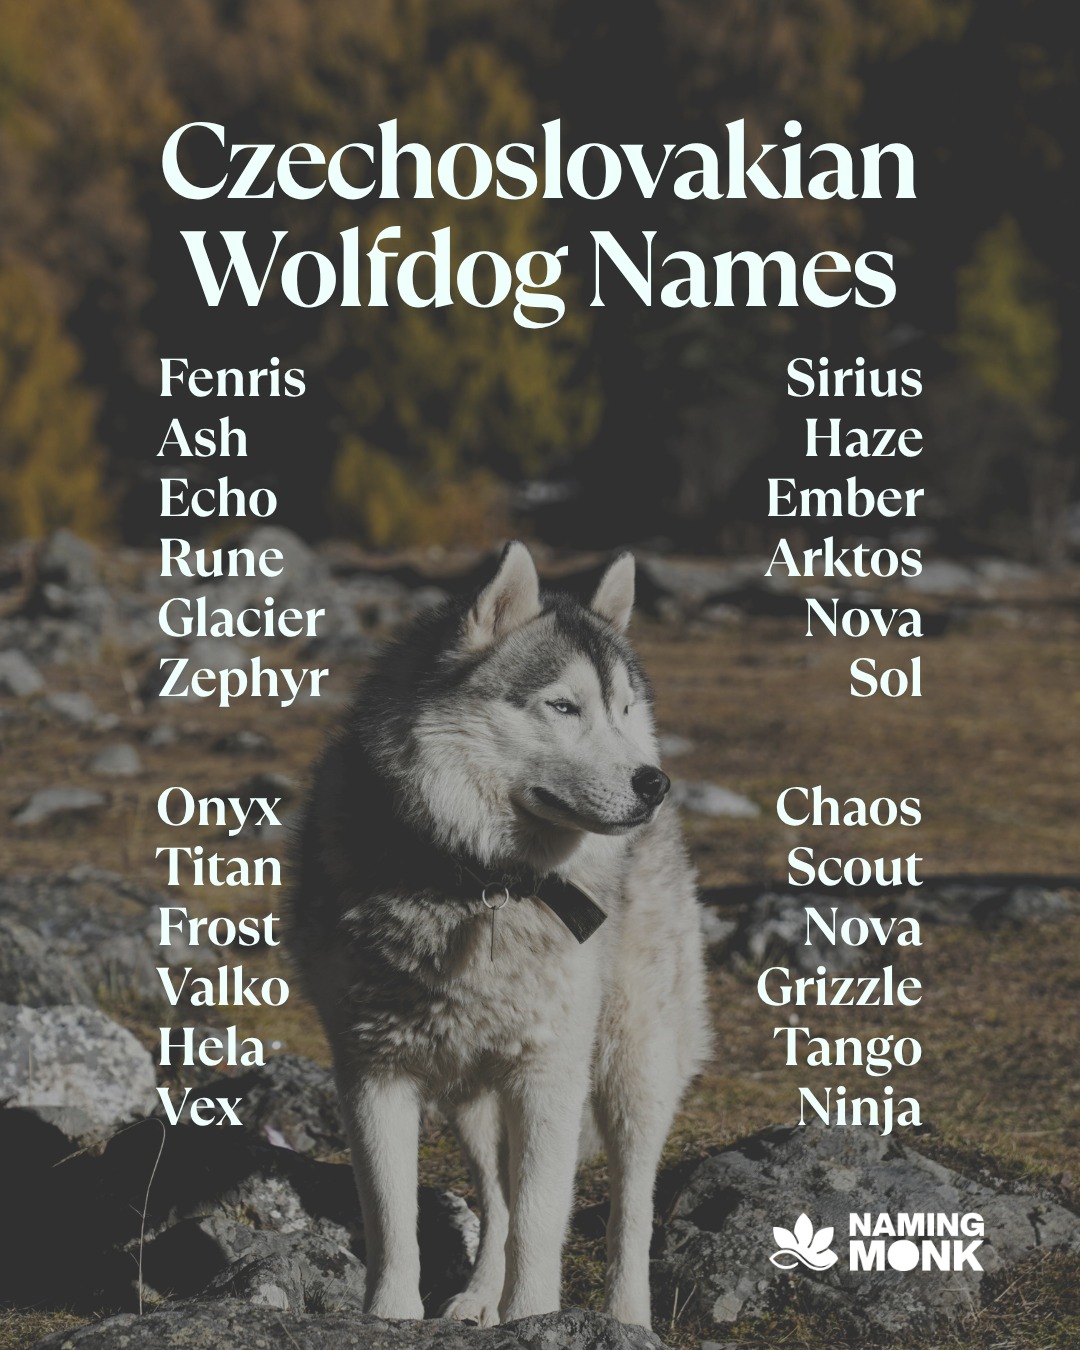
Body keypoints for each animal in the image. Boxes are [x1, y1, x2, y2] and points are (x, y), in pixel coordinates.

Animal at [289, 542, 711, 1327]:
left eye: (623, 709)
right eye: (564, 706)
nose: (655, 783)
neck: (480, 883)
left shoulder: (548, 1073)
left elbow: (544, 1221)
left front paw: (535, 1320)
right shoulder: (371, 1073)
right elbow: (392, 1219)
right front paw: (392, 1318)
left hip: (631, 1069)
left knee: (629, 1208)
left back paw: (626, 1318)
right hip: (473, 1103)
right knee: (498, 1198)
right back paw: (480, 1298)